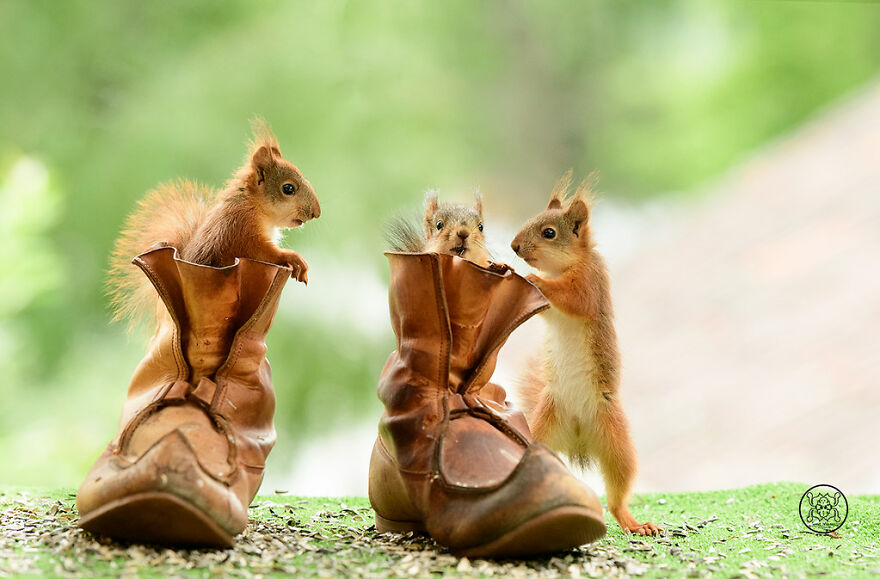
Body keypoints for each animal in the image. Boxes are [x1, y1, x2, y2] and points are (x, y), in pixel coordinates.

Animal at [108, 119, 320, 329]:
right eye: (288, 188)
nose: (316, 213)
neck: (255, 207)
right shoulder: (240, 231)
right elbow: (263, 252)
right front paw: (293, 259)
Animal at [510, 171, 661, 536]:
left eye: (549, 232)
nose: (514, 247)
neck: (565, 266)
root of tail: (577, 440)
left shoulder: (590, 284)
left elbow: (573, 298)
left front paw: (530, 276)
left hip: (616, 441)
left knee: (617, 496)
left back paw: (635, 524)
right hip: (543, 427)